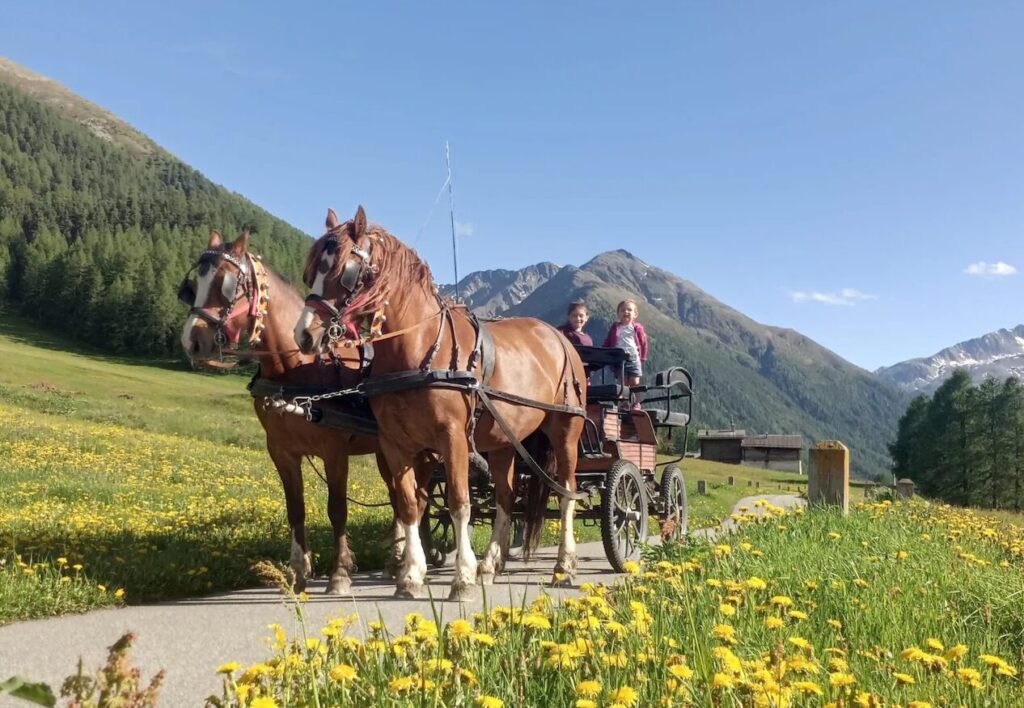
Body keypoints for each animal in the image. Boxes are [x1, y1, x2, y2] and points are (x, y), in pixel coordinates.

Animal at [182, 229, 405, 594]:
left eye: (227, 283)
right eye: (193, 285)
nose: (191, 341)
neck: (297, 367)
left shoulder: (334, 451)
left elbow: (337, 509)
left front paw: (339, 573)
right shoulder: (281, 451)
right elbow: (295, 509)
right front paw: (299, 572)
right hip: (386, 451)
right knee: (401, 498)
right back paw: (397, 561)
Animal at [292, 207, 589, 602]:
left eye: (346, 272)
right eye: (311, 272)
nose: (304, 335)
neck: (417, 350)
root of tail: (558, 336)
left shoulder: (453, 440)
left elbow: (459, 504)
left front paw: (462, 578)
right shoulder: (395, 444)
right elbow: (409, 506)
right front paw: (411, 576)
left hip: (565, 431)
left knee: (566, 493)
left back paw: (563, 566)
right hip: (504, 442)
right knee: (506, 497)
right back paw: (490, 565)